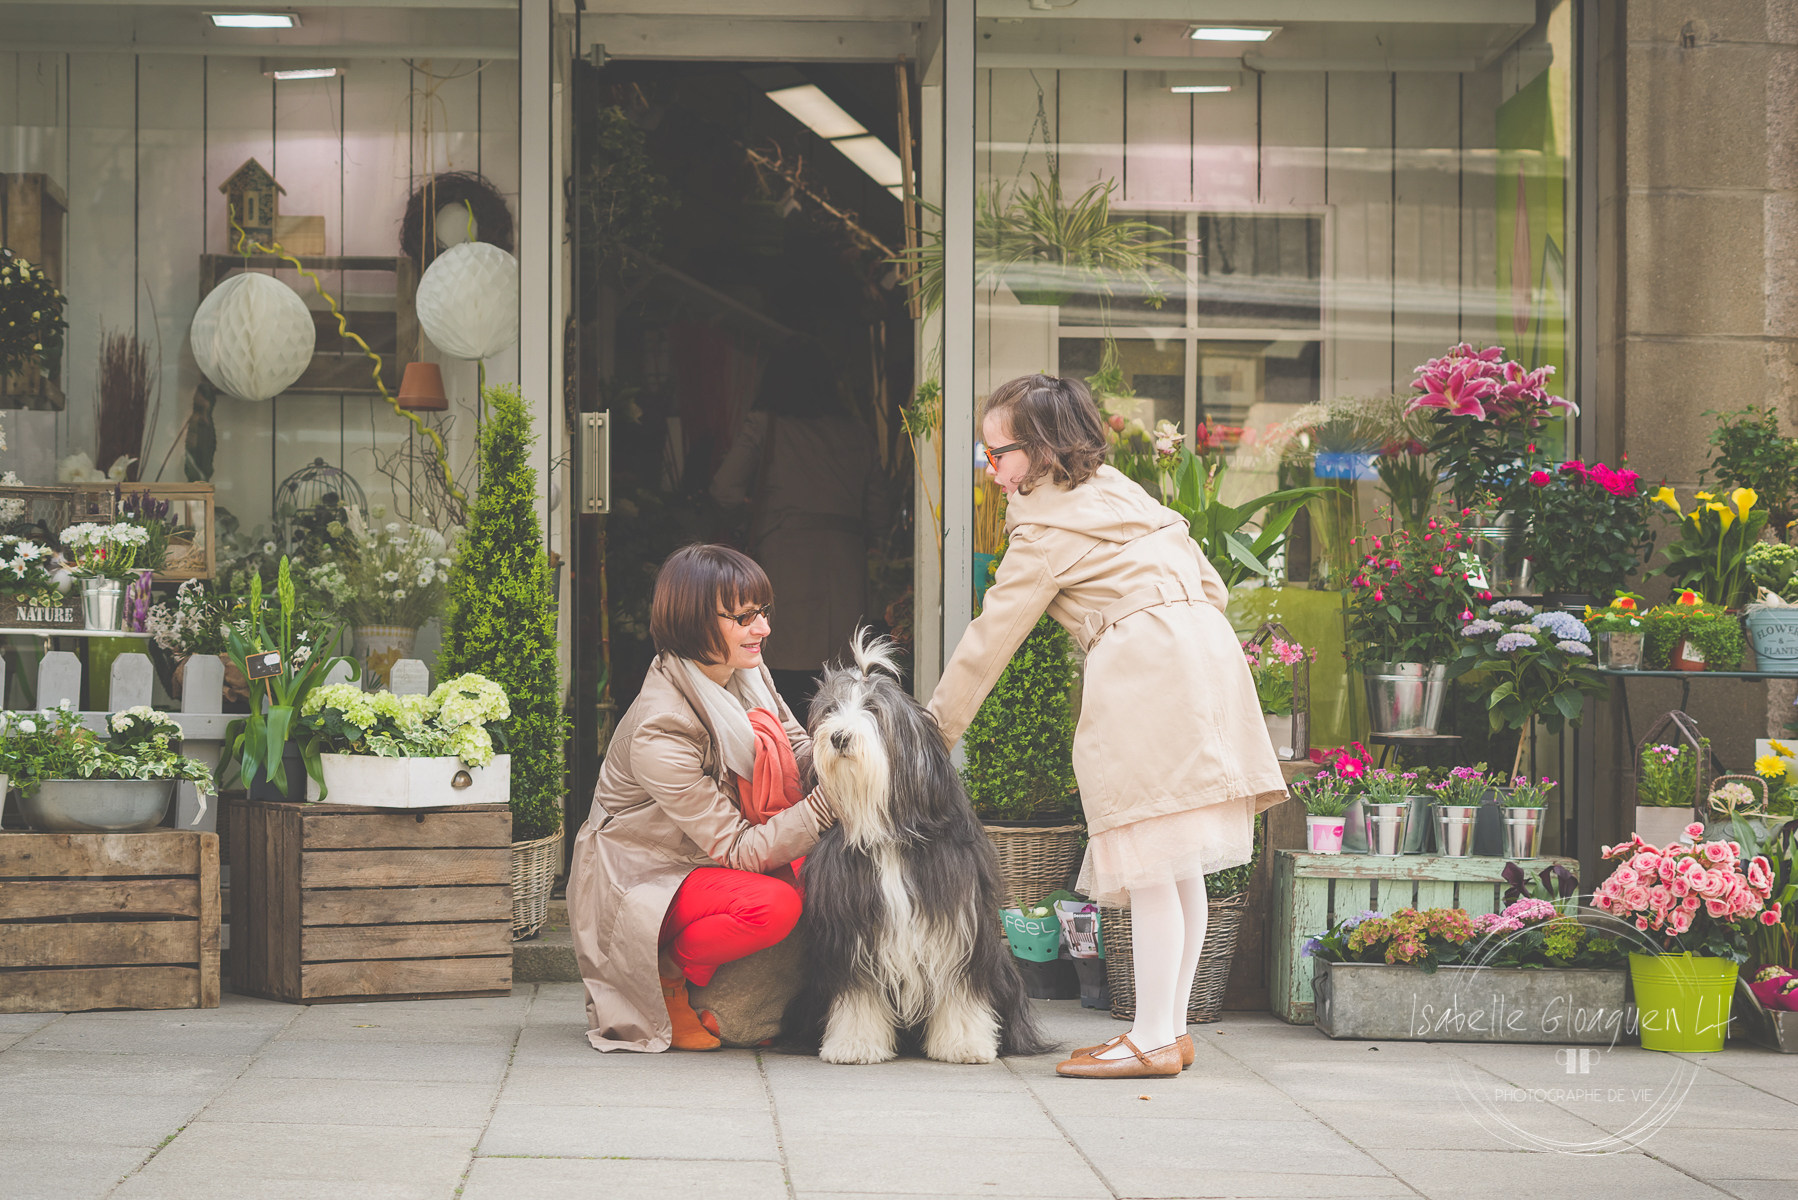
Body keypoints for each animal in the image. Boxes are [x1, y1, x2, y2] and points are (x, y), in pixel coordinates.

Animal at [776, 633, 1050, 1065]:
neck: (887, 832)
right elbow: (858, 993)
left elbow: (959, 986)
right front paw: (855, 1043)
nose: (838, 737)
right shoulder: (851, 929)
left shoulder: (955, 920)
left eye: (873, 710)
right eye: (831, 710)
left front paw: (965, 1043)